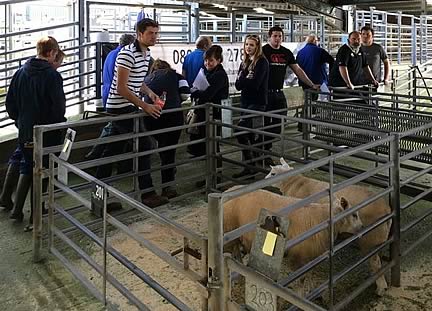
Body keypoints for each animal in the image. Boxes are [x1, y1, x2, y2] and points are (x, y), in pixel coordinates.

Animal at [264, 158, 394, 298]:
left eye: (272, 173)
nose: (264, 179)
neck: (296, 183)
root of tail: (386, 208)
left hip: (369, 239)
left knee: (375, 262)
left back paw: (381, 288)